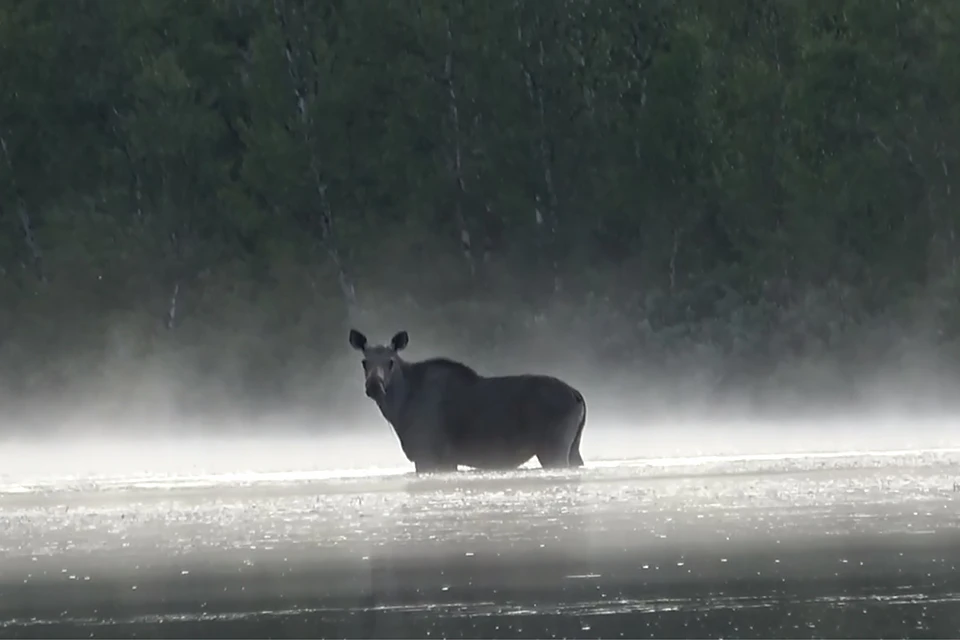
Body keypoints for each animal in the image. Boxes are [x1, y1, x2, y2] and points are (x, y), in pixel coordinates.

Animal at [346, 330, 584, 476]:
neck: (399, 411)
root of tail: (578, 395)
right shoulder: (445, 460)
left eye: (390, 361)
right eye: (364, 361)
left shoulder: (427, 455)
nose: (374, 385)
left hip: (554, 446)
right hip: (573, 447)